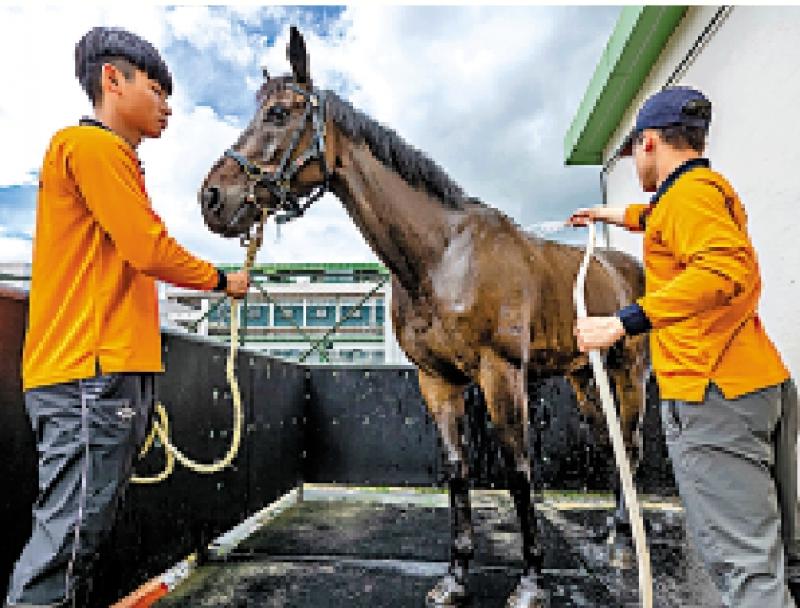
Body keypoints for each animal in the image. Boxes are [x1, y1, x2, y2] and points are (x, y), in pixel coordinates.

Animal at [200, 25, 648, 608]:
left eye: (278, 112)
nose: (212, 197)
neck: (442, 257)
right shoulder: (437, 381)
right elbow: (457, 470)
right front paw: (455, 577)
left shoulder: (502, 374)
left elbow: (519, 469)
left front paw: (531, 579)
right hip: (585, 378)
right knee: (613, 447)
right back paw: (616, 535)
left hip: (628, 372)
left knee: (632, 446)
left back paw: (623, 543)